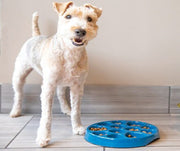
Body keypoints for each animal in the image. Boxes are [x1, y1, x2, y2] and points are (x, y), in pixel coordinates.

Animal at [9, 1, 102, 147]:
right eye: (68, 16)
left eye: (89, 18)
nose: (80, 31)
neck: (70, 52)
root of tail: (36, 35)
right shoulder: (48, 86)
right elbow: (47, 115)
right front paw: (43, 137)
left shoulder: (77, 86)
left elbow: (76, 110)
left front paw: (78, 127)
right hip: (20, 73)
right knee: (18, 94)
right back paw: (15, 111)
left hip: (63, 81)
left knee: (61, 95)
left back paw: (67, 109)